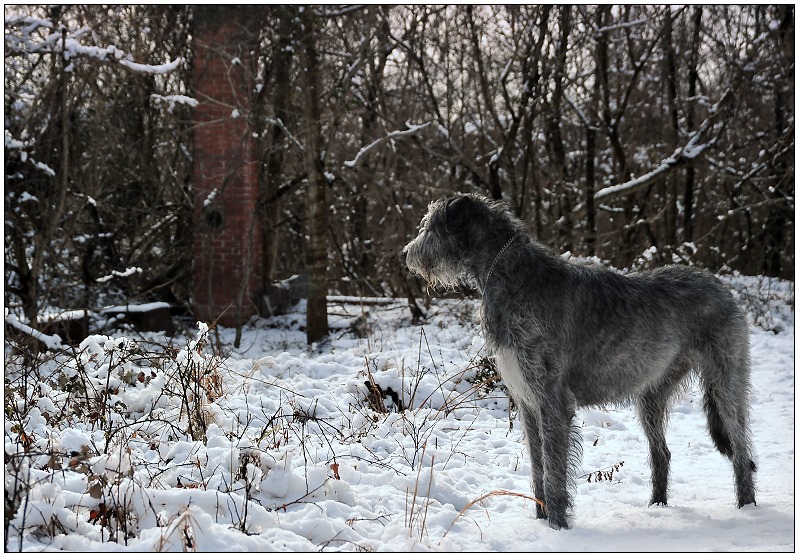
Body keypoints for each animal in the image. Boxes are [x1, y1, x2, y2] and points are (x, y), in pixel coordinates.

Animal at [404, 192, 760, 528]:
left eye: (428, 227)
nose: (406, 254)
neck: (511, 276)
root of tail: (719, 284)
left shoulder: (552, 399)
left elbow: (554, 471)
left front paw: (558, 526)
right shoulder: (527, 400)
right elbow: (538, 467)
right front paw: (541, 520)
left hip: (726, 380)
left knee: (741, 449)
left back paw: (747, 508)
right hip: (652, 393)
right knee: (662, 453)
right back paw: (657, 507)